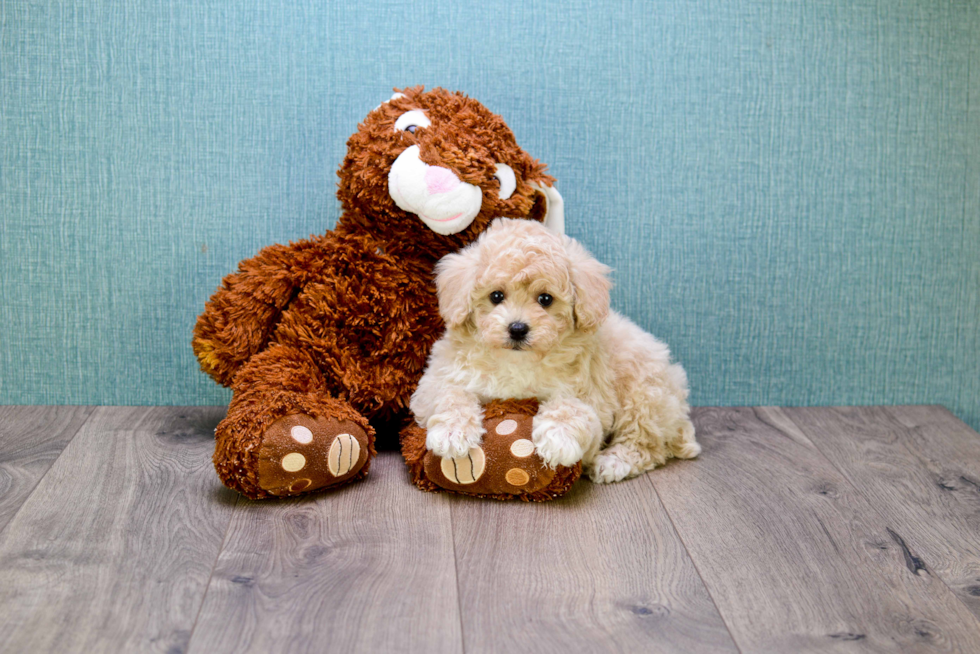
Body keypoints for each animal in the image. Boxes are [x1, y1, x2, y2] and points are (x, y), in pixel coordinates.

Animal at [410, 219, 700, 482]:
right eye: (496, 296)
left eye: (545, 299)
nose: (517, 328)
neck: (517, 362)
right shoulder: (435, 381)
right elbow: (451, 394)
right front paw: (452, 433)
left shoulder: (591, 396)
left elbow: (571, 407)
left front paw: (558, 438)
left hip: (643, 393)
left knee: (647, 444)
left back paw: (613, 462)